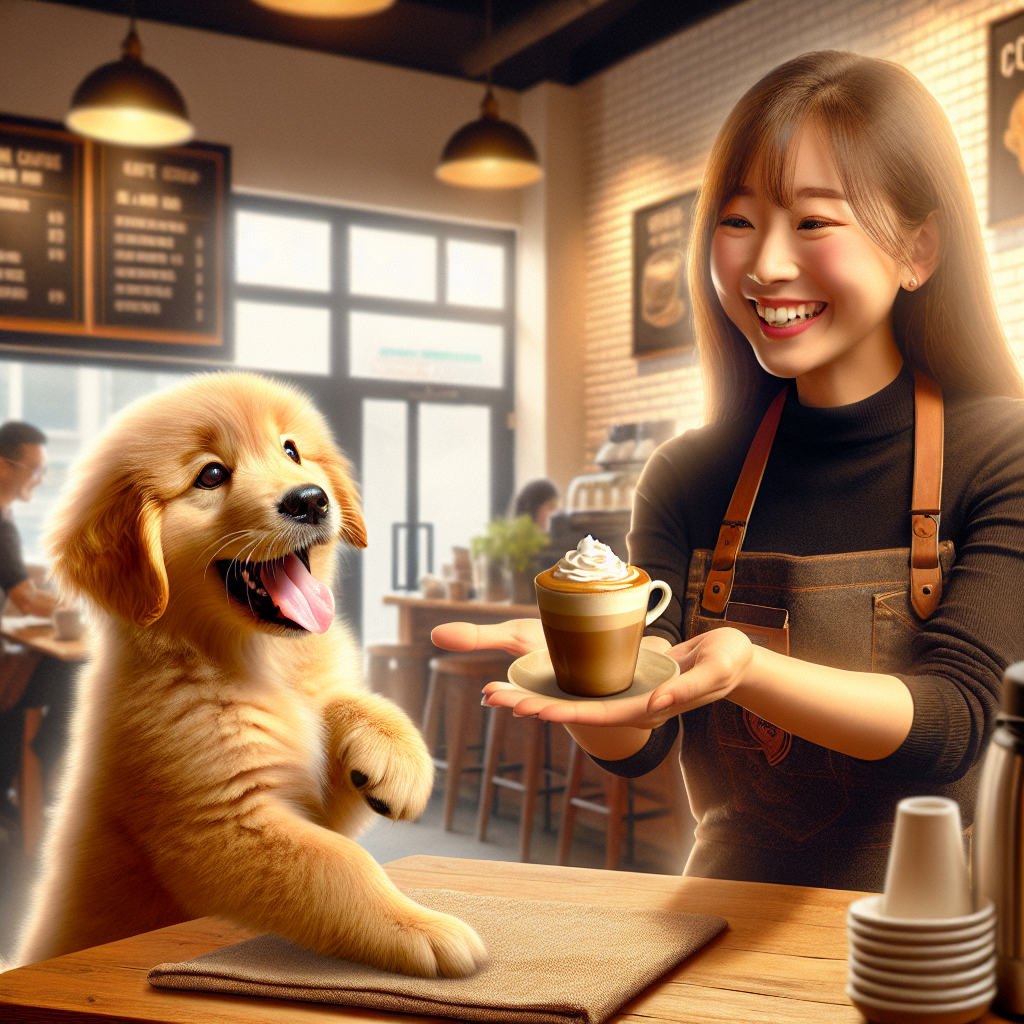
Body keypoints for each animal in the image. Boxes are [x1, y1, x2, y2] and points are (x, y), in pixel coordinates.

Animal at [11, 374, 483, 974]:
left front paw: (395, 758)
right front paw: (420, 927)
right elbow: (339, 864)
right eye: (211, 474)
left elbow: (349, 704)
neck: (263, 659)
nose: (311, 499)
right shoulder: (222, 823)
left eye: (291, 450)